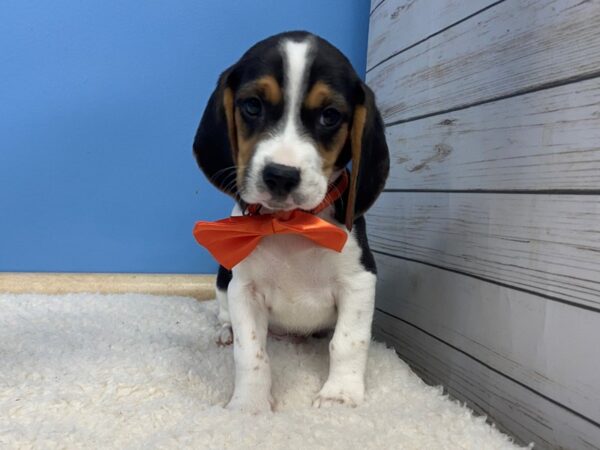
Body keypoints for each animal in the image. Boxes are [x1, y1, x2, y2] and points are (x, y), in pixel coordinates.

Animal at [192, 29, 390, 414]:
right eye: (252, 106)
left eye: (330, 115)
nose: (280, 175)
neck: (289, 223)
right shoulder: (244, 289)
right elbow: (251, 353)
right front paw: (249, 406)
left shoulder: (359, 281)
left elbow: (347, 343)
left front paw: (339, 396)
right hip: (224, 276)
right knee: (224, 313)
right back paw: (225, 332)